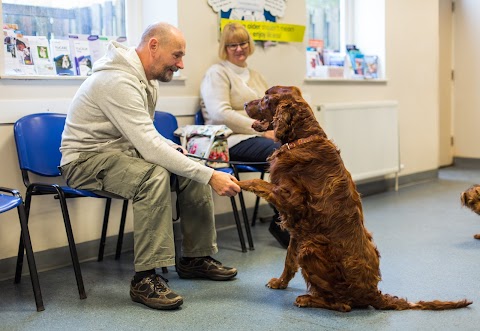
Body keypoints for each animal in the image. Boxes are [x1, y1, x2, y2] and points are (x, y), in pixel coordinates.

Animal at [238, 85, 470, 312]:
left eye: (266, 97)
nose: (245, 103)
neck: (302, 139)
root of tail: (373, 293)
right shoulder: (298, 229)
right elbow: (288, 260)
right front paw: (280, 282)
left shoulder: (294, 202)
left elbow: (258, 183)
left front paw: (237, 183)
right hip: (309, 242)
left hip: (310, 248)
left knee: (343, 305)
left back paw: (308, 299)